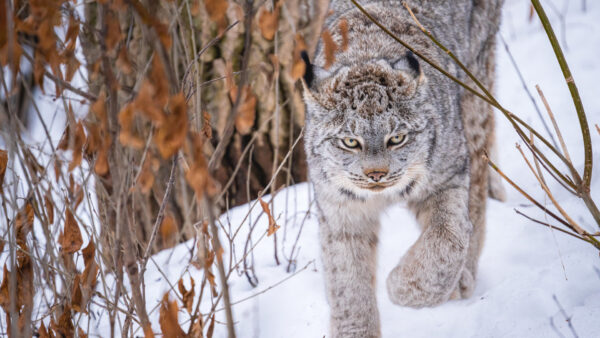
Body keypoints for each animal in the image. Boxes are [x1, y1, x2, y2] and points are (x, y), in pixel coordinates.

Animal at [302, 0, 504, 338]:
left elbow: (449, 237)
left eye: (396, 138)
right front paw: (355, 330)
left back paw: (463, 277)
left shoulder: (447, 175)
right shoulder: (340, 206)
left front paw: (404, 288)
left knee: (478, 180)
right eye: (350, 142)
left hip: (473, 89)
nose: (376, 175)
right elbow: (346, 278)